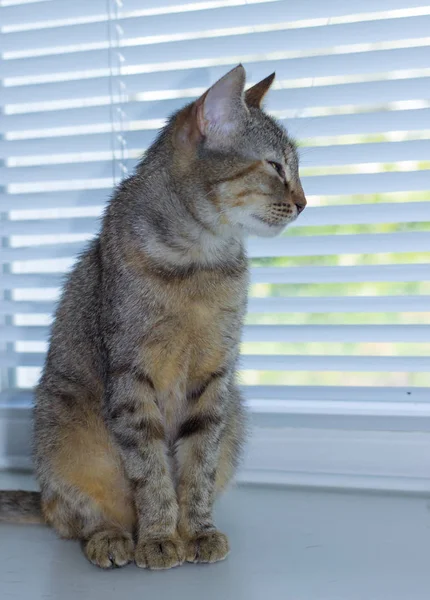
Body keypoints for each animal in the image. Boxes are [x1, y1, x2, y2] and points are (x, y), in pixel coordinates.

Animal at [1, 64, 308, 568]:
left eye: (295, 168)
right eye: (276, 166)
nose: (304, 202)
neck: (202, 260)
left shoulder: (214, 376)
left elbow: (199, 467)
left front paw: (197, 531)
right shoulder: (131, 374)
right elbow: (150, 469)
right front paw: (161, 536)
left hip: (235, 411)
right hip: (60, 425)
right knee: (73, 515)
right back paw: (113, 537)